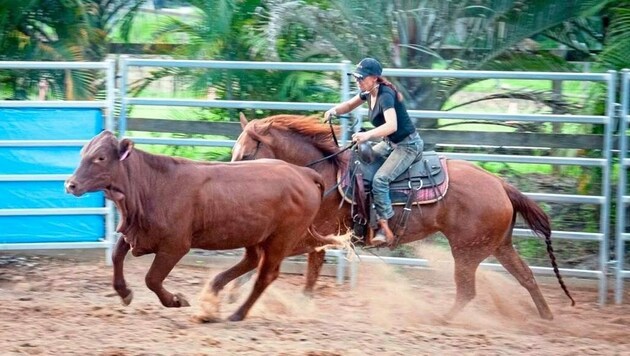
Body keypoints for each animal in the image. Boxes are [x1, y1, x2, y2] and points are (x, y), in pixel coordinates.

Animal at [65, 131, 344, 322]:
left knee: (265, 275)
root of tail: (304, 174)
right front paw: (124, 293)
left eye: (100, 157)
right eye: (82, 154)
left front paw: (176, 300)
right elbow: (116, 256)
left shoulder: (175, 246)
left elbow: (152, 278)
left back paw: (236, 314)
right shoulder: (137, 232)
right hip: (255, 235)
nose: (70, 184)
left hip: (280, 239)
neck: (152, 184)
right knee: (252, 261)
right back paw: (214, 290)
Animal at [233, 113, 576, 320]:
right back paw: (547, 318)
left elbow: (295, 267)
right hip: (499, 246)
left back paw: (444, 319)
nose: (237, 180)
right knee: (526, 276)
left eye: (247, 154)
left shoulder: (316, 236)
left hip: (467, 251)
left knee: (468, 290)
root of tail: (500, 184)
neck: (327, 176)